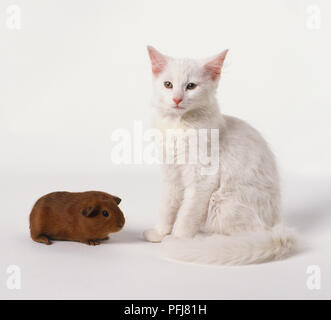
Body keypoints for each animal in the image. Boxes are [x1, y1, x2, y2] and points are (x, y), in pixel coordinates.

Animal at [144, 45, 296, 264]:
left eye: (191, 86)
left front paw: (178, 239)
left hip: (221, 201)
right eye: (168, 84)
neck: (179, 126)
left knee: (250, 233)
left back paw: (207, 240)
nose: (177, 99)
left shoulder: (202, 179)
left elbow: (186, 215)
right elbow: (167, 207)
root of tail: (278, 226)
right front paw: (159, 233)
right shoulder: (172, 175)